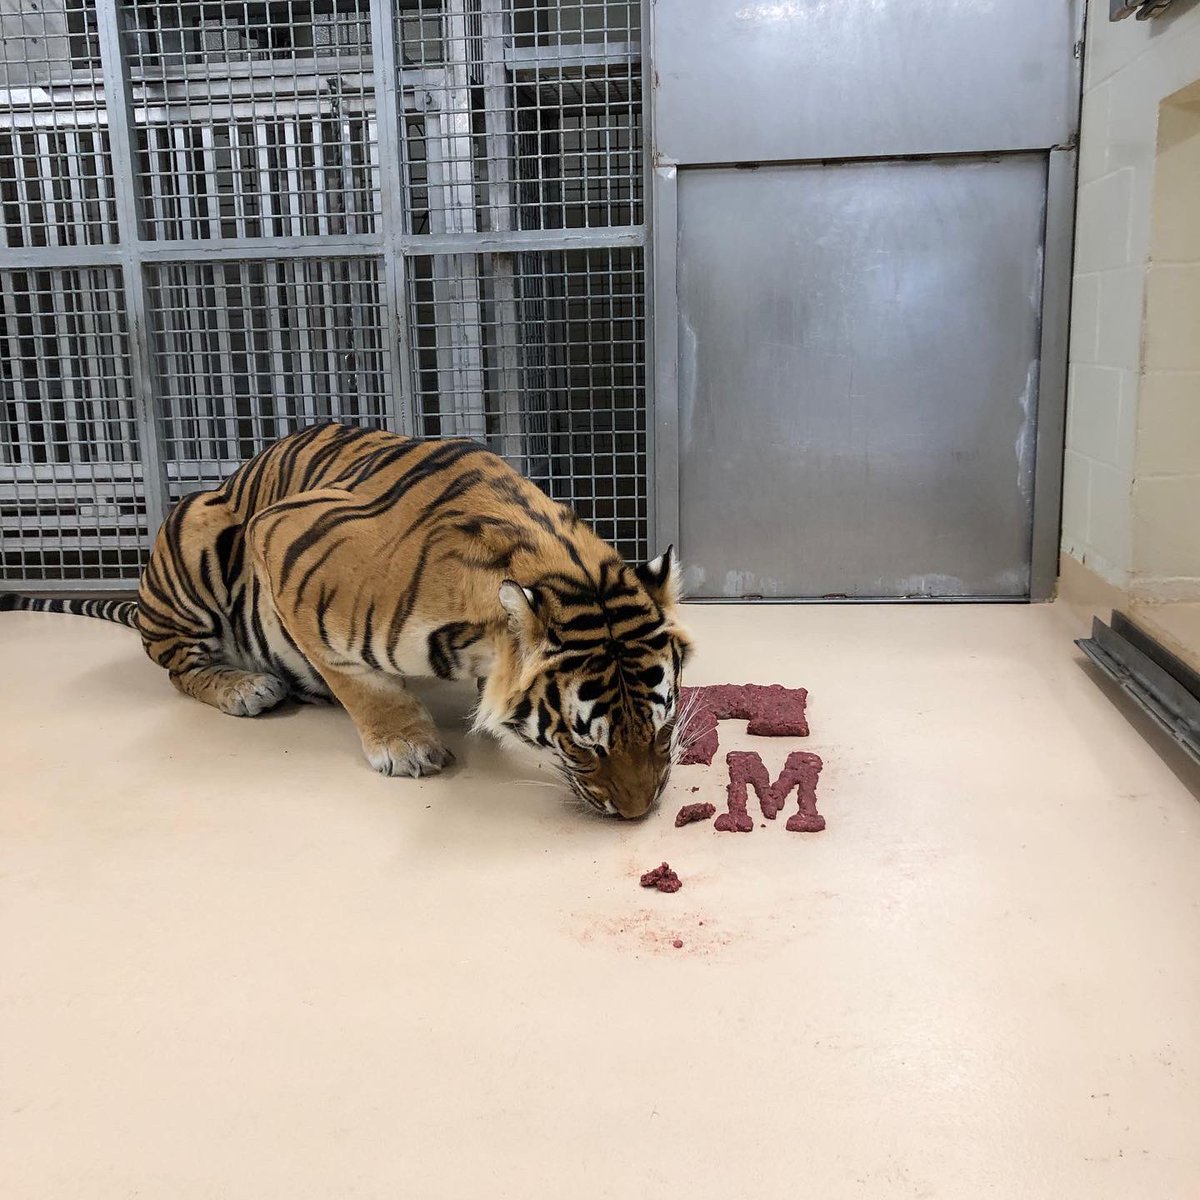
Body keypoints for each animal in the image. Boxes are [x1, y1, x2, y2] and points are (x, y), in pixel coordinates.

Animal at [2, 423, 693, 819]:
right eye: (583, 744)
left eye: (662, 729)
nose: (637, 814)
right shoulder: (280, 540)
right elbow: (362, 683)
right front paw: (407, 746)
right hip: (199, 527)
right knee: (177, 664)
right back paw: (245, 686)